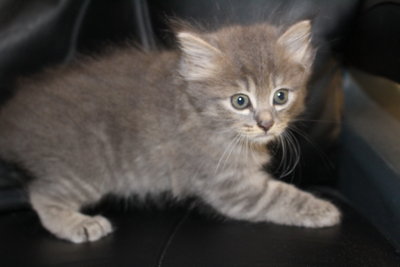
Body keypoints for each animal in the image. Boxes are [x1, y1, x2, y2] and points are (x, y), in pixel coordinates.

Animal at [0, 19, 340, 244]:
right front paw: (323, 209)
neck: (197, 112)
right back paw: (79, 225)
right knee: (41, 194)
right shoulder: (230, 186)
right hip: (84, 170)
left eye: (280, 96)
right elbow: (278, 196)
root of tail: (12, 117)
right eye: (240, 101)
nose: (266, 124)